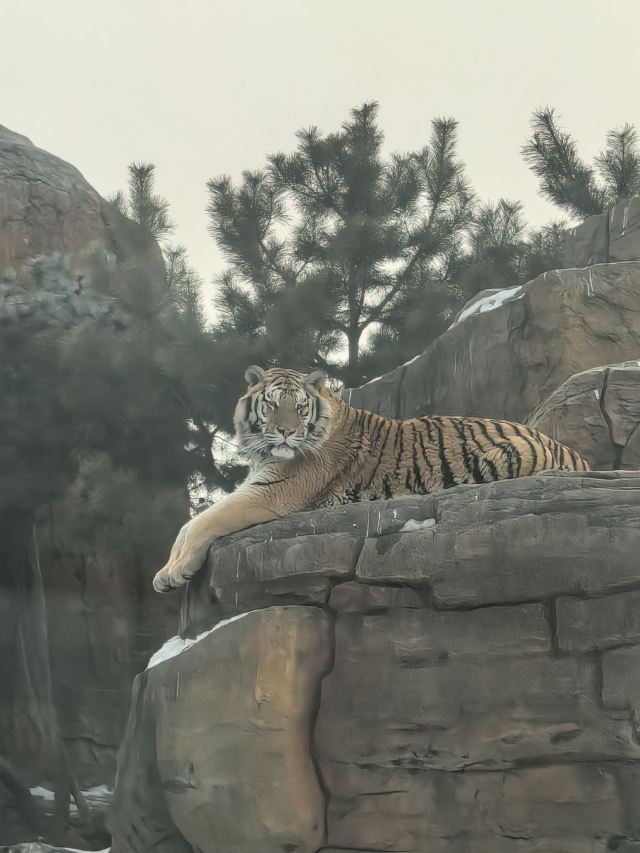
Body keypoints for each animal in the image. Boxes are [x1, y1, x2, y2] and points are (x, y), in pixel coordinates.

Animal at [153, 365, 589, 592]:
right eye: (273, 405)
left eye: (300, 407)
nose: (287, 433)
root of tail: (575, 454)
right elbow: (187, 525)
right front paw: (166, 571)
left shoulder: (272, 492)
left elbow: (205, 522)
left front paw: (174, 572)